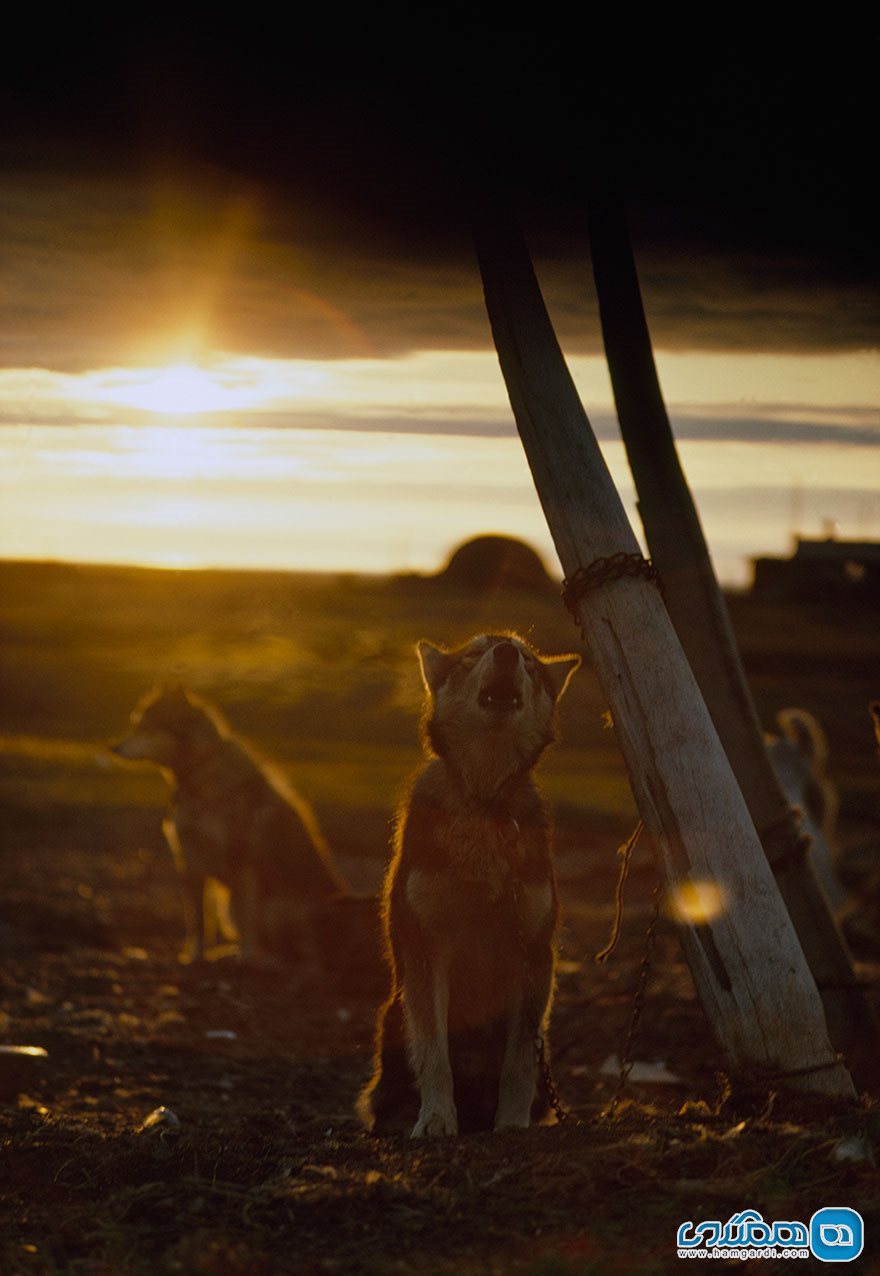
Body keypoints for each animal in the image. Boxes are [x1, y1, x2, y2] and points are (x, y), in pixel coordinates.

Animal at [109, 683, 341, 959]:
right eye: (134, 724)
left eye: (145, 727)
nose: (113, 748)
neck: (200, 771)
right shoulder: (189, 862)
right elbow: (197, 920)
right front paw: (194, 955)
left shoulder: (241, 861)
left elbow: (247, 919)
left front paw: (247, 959)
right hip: (227, 905)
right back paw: (227, 952)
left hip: (272, 907)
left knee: (295, 951)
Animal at [357, 632, 576, 1133]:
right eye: (476, 652)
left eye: (529, 661)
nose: (507, 653)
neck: (484, 802)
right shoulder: (425, 949)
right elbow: (434, 1055)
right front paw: (436, 1120)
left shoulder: (534, 955)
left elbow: (519, 1063)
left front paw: (512, 1124)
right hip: (393, 1014)